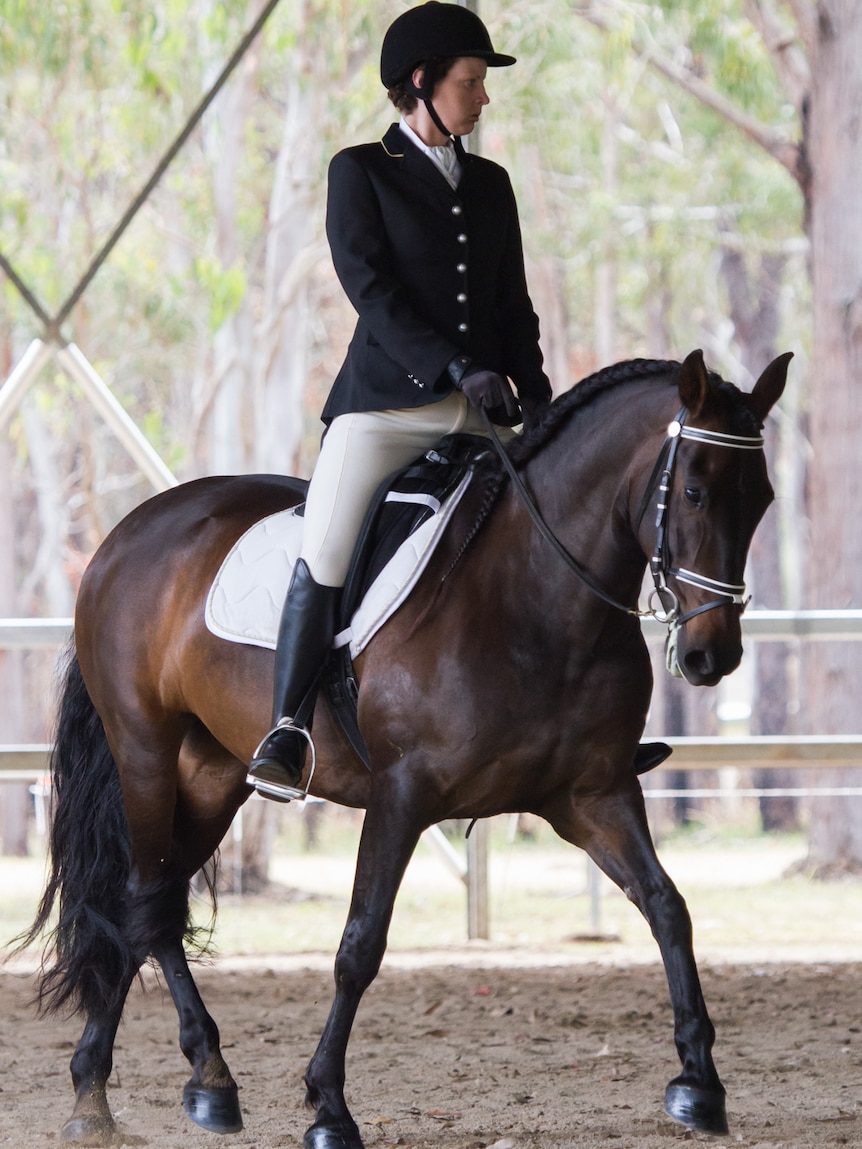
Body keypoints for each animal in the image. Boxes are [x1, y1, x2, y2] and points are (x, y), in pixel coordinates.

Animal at [20, 351, 790, 1149]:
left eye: (762, 498)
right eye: (694, 490)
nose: (711, 656)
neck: (537, 599)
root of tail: (129, 532)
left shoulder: (594, 795)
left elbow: (668, 908)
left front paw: (699, 1084)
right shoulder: (402, 794)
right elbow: (360, 944)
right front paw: (329, 1106)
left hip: (211, 772)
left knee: (153, 903)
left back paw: (151, 1085)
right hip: (145, 749)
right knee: (146, 901)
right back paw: (149, 1084)